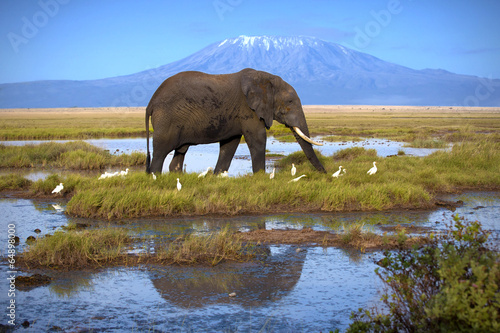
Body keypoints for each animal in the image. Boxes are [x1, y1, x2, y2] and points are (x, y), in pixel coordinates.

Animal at [146, 68, 324, 175]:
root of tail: (151, 102)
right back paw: (156, 177)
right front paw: (261, 177)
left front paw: (217, 176)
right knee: (161, 151)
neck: (264, 79)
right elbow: (258, 139)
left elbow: (230, 144)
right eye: (290, 102)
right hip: (166, 119)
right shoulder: (248, 109)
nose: (325, 173)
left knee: (180, 151)